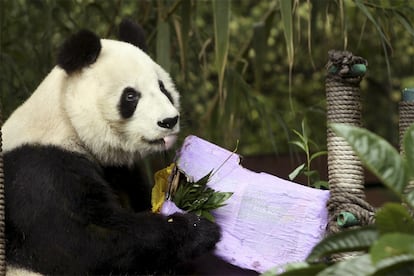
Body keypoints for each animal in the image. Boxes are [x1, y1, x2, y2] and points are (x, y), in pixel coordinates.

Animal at [2, 19, 220, 276]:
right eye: (130, 96)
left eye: (162, 88)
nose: (168, 121)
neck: (67, 123)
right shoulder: (40, 172)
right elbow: (79, 244)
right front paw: (196, 228)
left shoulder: (120, 170)